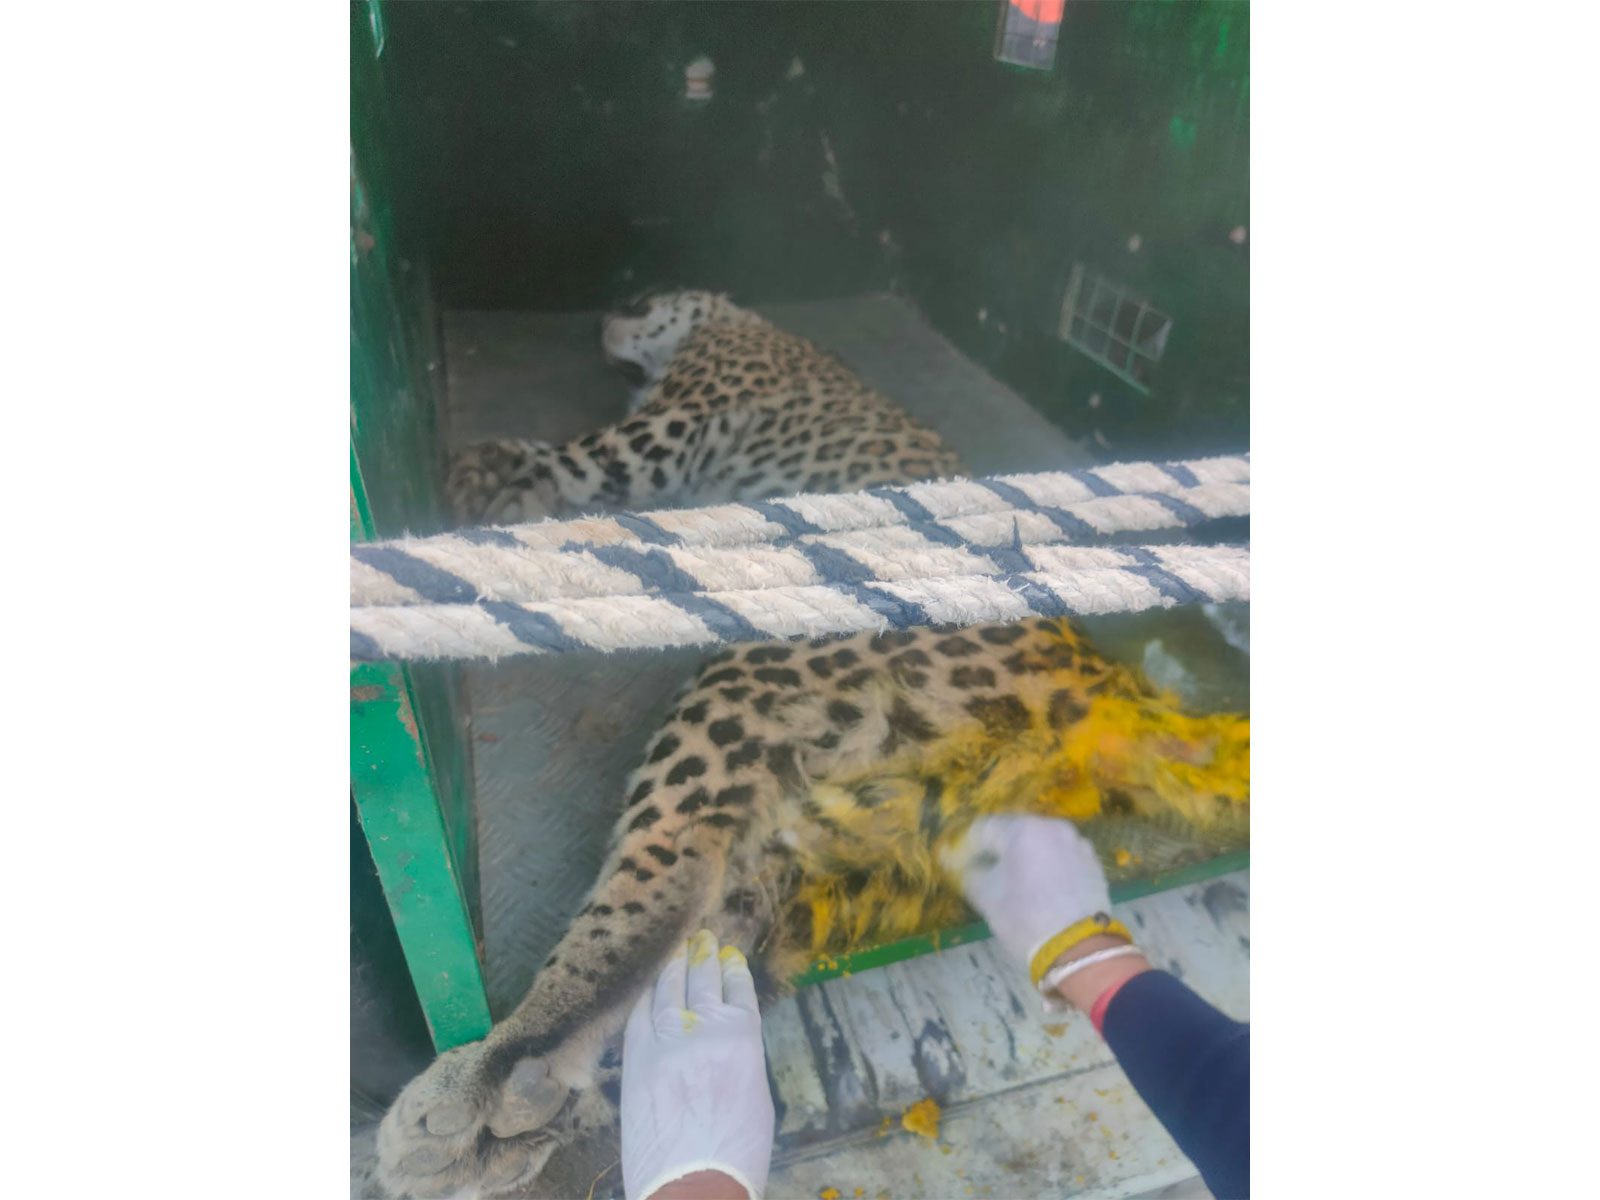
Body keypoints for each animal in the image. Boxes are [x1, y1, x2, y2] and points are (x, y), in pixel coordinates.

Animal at [376, 293, 1251, 1198]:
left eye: (642, 300)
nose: (604, 324)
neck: (732, 321)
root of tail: (1102, 680)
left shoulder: (655, 436)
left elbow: (571, 459)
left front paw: (485, 483)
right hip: (852, 831)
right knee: (718, 948)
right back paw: (540, 1110)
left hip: (748, 689)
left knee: (661, 885)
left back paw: (488, 1080)